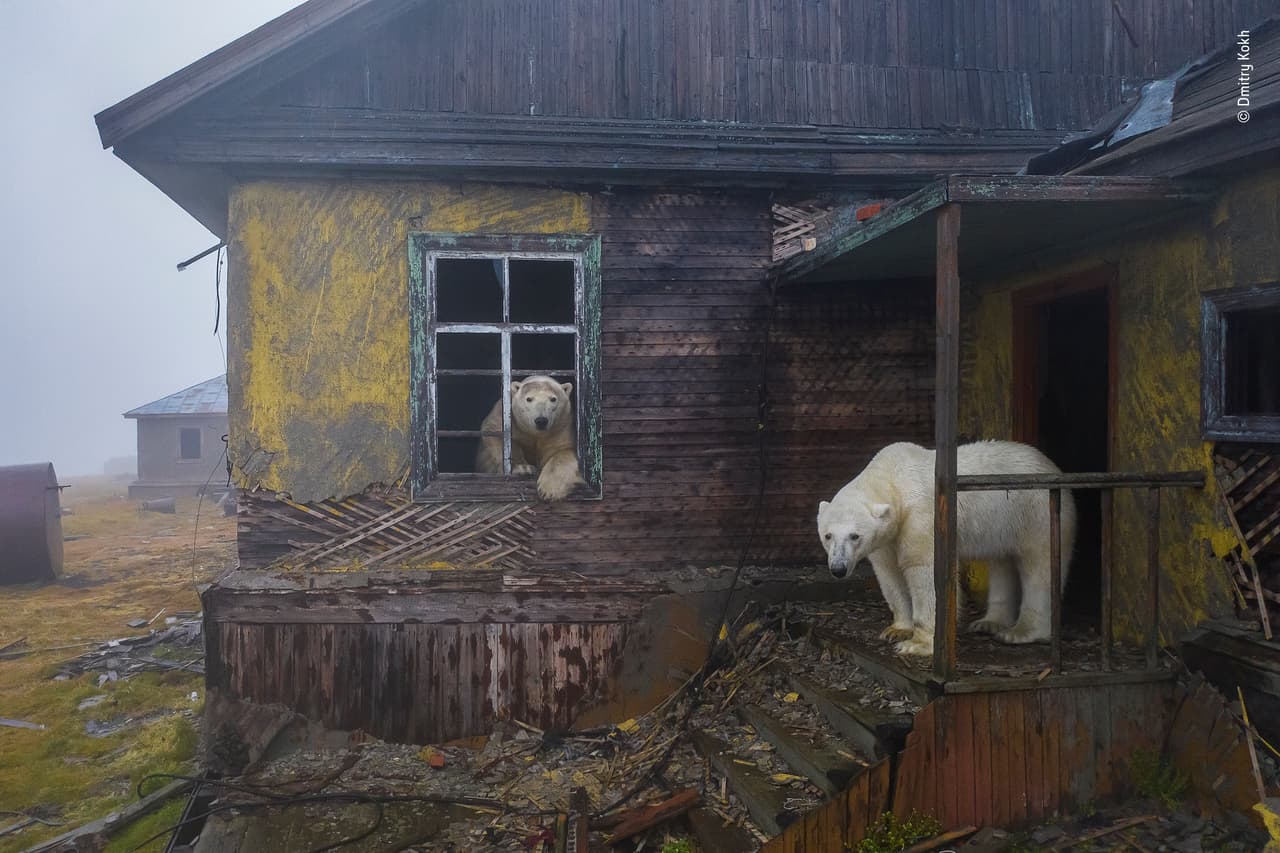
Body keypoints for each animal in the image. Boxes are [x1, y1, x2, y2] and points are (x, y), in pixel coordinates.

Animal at [816, 440, 1076, 657]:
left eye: (855, 536)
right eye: (828, 535)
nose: (838, 569)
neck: (893, 478)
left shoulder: (921, 517)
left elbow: (925, 571)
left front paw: (917, 644)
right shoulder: (887, 537)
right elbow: (889, 574)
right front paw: (896, 630)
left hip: (1035, 512)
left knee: (1039, 566)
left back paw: (1020, 631)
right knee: (1001, 562)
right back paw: (989, 622)